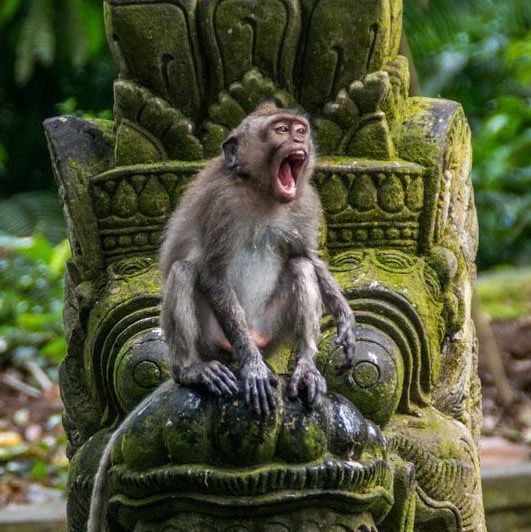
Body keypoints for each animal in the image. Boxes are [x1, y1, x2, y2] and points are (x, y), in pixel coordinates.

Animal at [88, 103, 358, 528]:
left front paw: (344, 319)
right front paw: (253, 369)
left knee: (298, 266)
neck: (262, 195)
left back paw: (303, 369)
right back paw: (196, 370)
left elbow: (309, 258)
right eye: (281, 130)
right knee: (185, 271)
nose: (299, 137)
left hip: (270, 331)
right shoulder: (222, 203)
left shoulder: (305, 203)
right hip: (213, 338)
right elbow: (213, 274)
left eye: (299, 128)